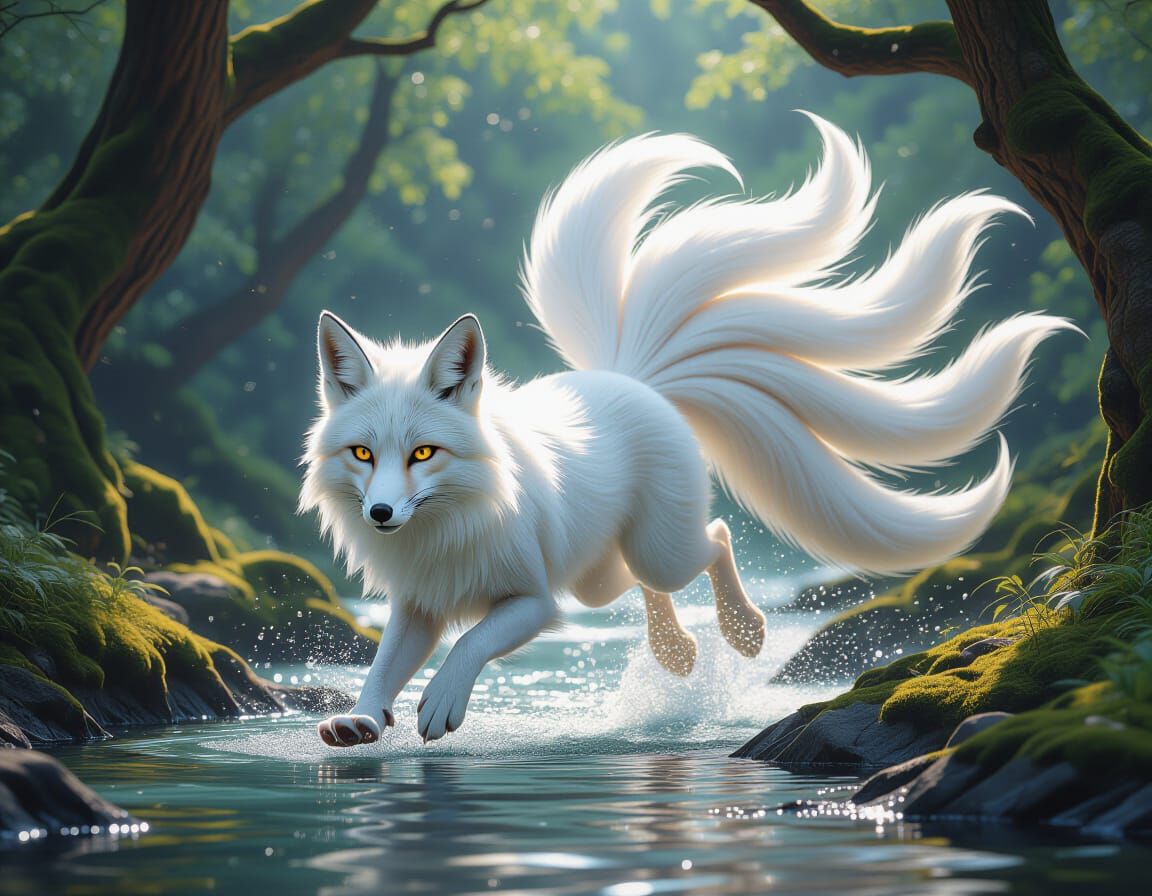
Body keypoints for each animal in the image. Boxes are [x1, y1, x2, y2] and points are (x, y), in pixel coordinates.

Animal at [299, 113, 1073, 747]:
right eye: (363, 453)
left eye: (424, 453)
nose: (380, 513)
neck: (448, 526)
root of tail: (635, 376)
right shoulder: (420, 605)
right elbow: (382, 665)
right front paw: (362, 720)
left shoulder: (533, 602)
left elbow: (468, 645)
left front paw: (439, 706)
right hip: (599, 576)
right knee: (652, 580)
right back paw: (678, 652)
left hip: (644, 554)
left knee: (715, 539)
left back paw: (742, 631)